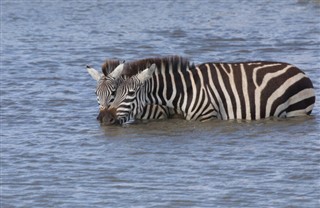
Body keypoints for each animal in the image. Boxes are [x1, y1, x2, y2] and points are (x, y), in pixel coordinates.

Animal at [103, 56, 316, 125]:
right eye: (115, 93)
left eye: (130, 94)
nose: (105, 119)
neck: (184, 91)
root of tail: (300, 71)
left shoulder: (207, 117)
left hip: (297, 111)